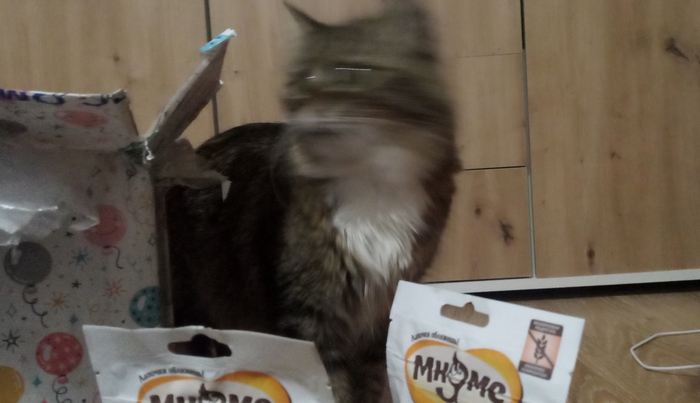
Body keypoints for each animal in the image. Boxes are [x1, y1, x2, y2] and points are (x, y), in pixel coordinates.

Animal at [166, 1, 459, 401]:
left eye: (354, 72)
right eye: (303, 78)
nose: (309, 103)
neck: (369, 182)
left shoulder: (381, 311)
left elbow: (372, 383)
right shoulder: (310, 315)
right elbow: (334, 386)